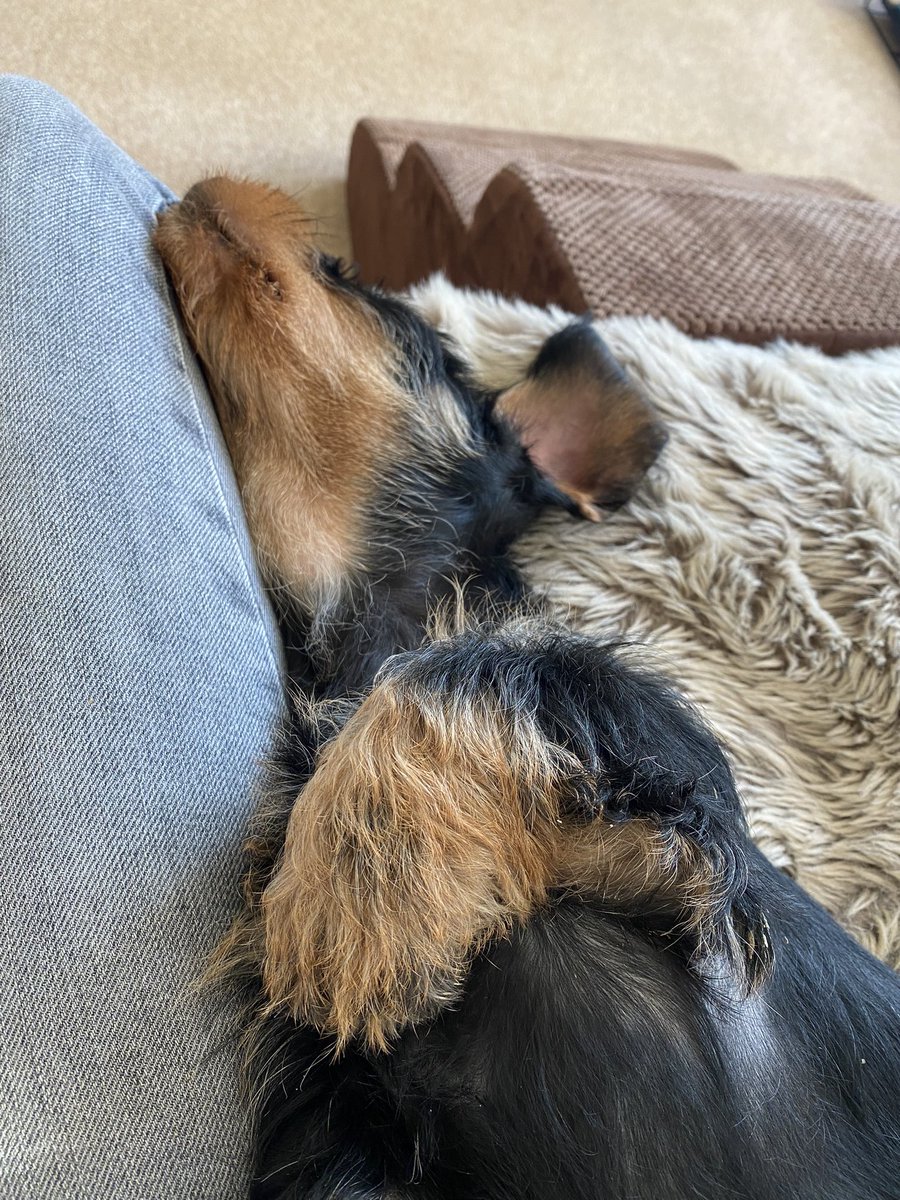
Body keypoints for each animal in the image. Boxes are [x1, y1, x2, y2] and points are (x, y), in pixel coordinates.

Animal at [155, 178, 900, 1200]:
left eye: (363, 290)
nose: (194, 191)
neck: (355, 642)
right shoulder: (354, 1130)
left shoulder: (691, 829)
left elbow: (497, 662)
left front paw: (362, 875)